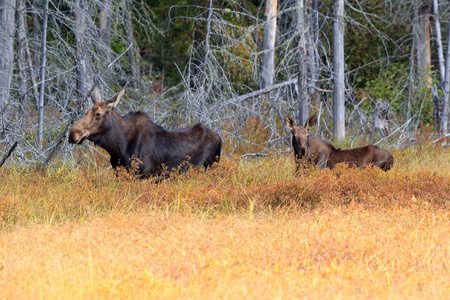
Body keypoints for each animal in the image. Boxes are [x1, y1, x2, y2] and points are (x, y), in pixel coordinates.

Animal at [68, 88, 221, 177]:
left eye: (98, 114)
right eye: (87, 112)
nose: (72, 134)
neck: (118, 148)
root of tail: (220, 138)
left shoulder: (145, 175)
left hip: (209, 167)